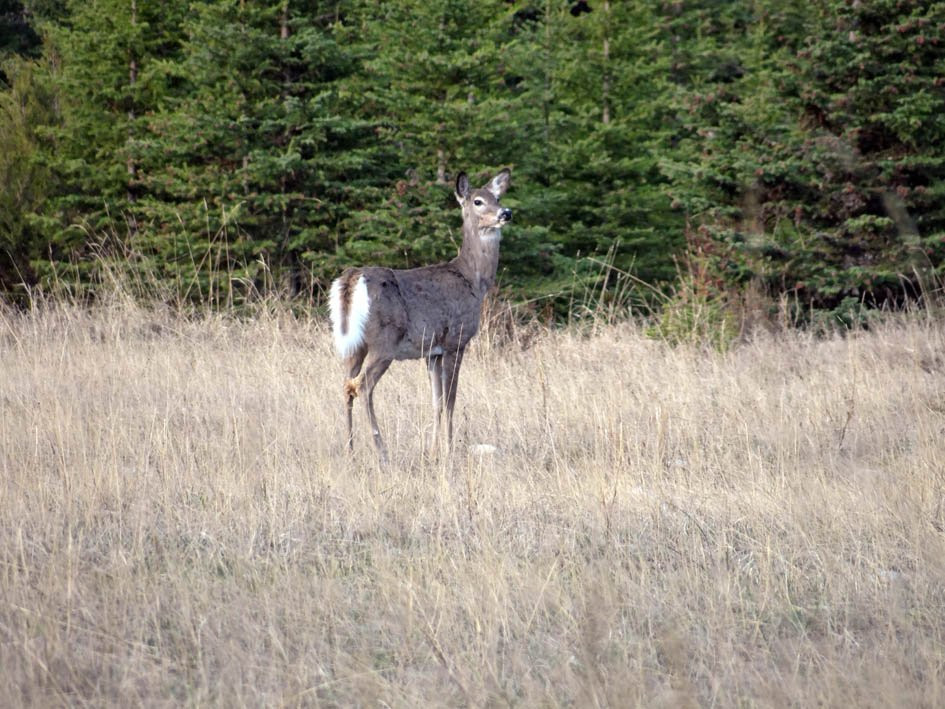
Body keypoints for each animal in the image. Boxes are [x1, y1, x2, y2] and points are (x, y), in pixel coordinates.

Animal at [330, 168, 512, 462]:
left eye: (497, 197)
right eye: (477, 201)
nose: (506, 213)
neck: (473, 281)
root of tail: (351, 279)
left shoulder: (432, 351)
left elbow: (435, 401)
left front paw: (433, 451)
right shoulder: (455, 340)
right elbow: (450, 400)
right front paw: (449, 450)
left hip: (353, 345)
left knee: (346, 385)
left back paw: (350, 450)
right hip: (384, 342)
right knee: (362, 386)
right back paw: (382, 451)